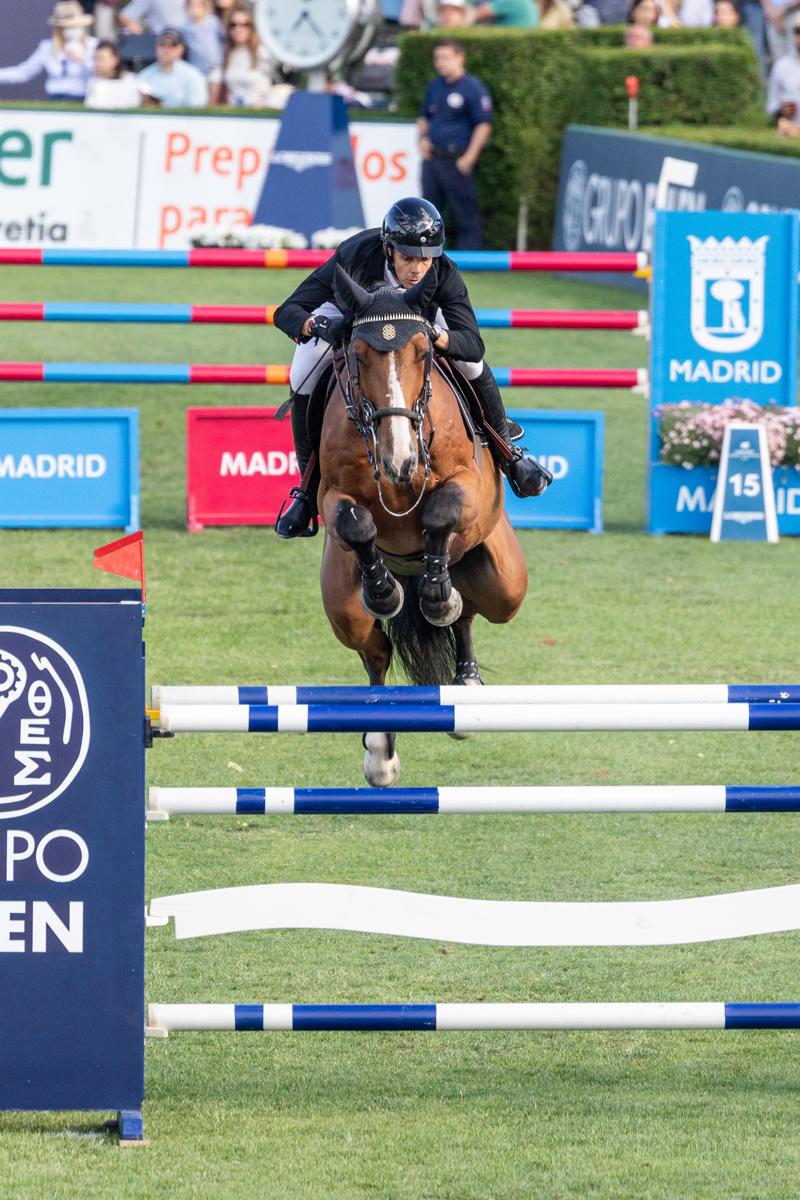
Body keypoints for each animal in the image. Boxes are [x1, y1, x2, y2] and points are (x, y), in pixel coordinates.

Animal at [316, 265, 527, 787]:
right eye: (357, 355)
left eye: (425, 353)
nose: (399, 461)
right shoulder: (331, 496)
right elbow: (356, 525)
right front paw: (384, 593)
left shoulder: (466, 484)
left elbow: (440, 514)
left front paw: (436, 597)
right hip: (342, 607)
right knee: (375, 651)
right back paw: (379, 751)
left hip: (504, 582)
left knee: (470, 608)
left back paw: (463, 673)